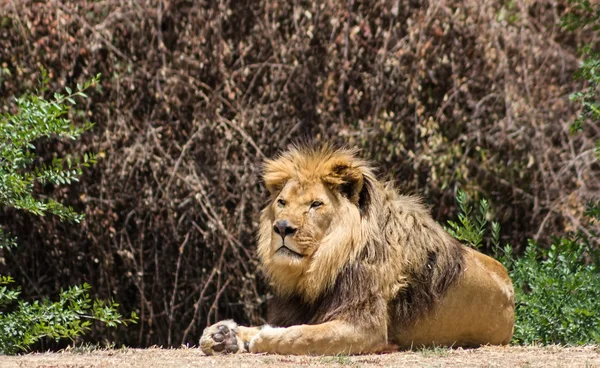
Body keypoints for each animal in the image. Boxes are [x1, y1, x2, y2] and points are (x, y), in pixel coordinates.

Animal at [199, 144, 512, 354]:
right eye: (282, 203)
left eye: (316, 204)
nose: (282, 228)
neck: (318, 268)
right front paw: (223, 335)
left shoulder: (366, 329)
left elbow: (302, 335)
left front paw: (263, 338)